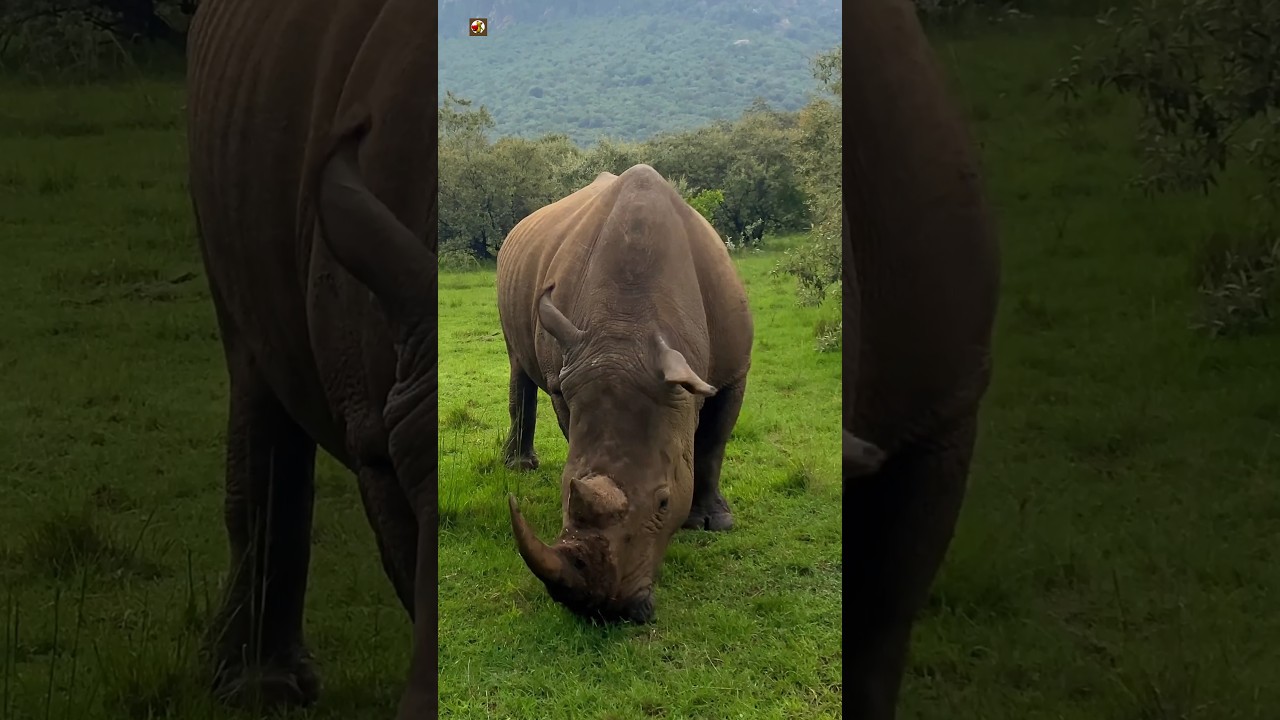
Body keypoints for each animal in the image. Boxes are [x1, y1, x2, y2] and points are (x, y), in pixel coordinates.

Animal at [496, 165, 754, 623]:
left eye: (664, 503)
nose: (600, 608)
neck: (630, 325)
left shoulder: (734, 369)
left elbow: (712, 445)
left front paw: (713, 523)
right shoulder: (570, 370)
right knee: (517, 363)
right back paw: (520, 467)